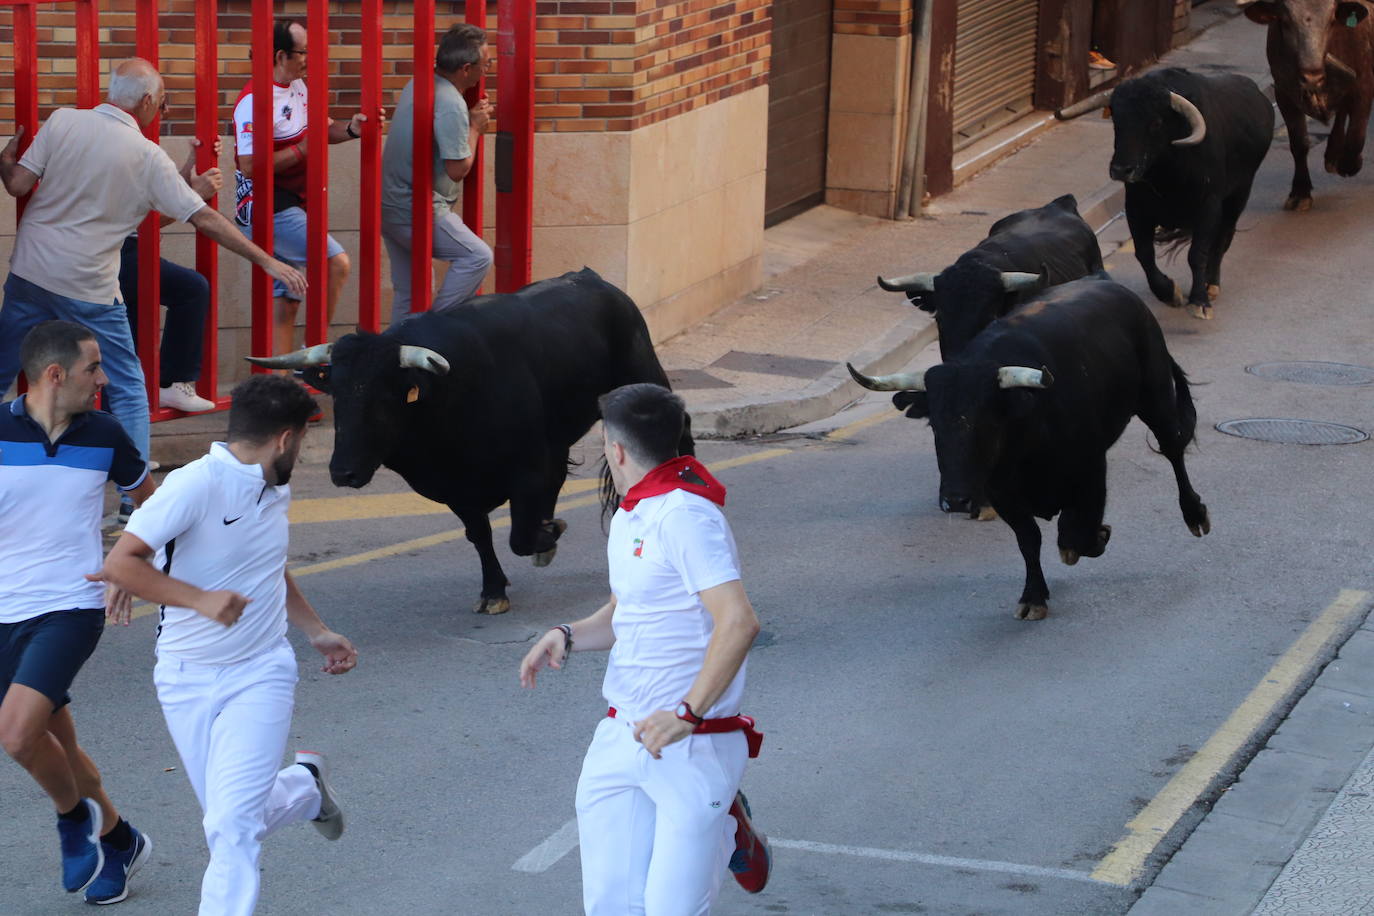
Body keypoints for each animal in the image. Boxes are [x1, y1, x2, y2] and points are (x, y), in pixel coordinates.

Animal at [248, 265, 692, 615]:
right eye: (337, 393)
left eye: (384, 395)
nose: (344, 472)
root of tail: (594, 279)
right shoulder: (455, 489)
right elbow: (481, 534)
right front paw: (494, 589)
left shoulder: (525, 469)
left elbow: (519, 536)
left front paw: (547, 537)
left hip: (643, 377)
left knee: (680, 432)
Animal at [840, 277, 1209, 623]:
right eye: (935, 425)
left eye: (987, 422)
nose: (955, 500)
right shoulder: (1001, 493)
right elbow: (1029, 540)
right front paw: (1033, 597)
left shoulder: (1091, 470)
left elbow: (1080, 533)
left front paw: (1092, 537)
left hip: (1155, 396)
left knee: (1173, 449)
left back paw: (1196, 516)